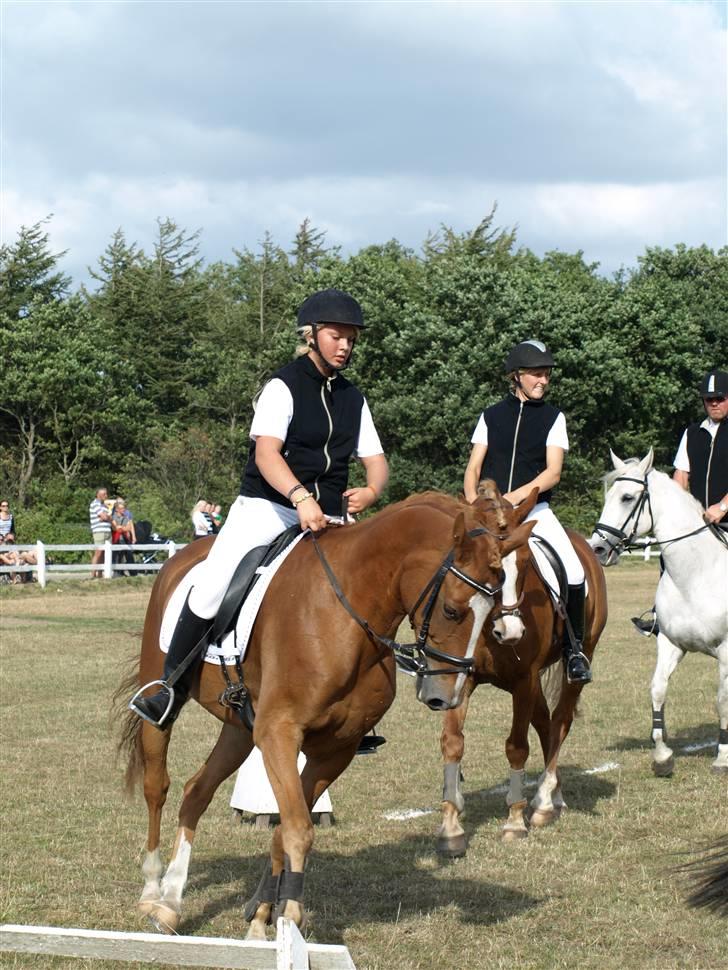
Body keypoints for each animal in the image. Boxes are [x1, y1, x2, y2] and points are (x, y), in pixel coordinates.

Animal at [116, 496, 532, 932]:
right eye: (452, 611)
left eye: (489, 611)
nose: (444, 697)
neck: (347, 612)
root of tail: (181, 558)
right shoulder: (279, 734)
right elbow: (298, 829)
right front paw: (288, 918)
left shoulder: (335, 749)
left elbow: (286, 829)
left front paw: (262, 914)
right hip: (163, 701)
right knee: (157, 786)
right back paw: (152, 890)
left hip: (240, 730)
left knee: (196, 791)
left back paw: (171, 901)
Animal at [392, 484, 608, 848]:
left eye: (524, 563)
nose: (510, 632)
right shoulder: (458, 676)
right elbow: (453, 742)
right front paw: (451, 823)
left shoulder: (524, 680)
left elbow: (516, 747)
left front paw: (515, 821)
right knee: (546, 724)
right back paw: (554, 797)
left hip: (577, 662)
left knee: (560, 722)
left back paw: (544, 801)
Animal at [588, 450, 724, 776]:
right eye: (608, 495)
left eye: (627, 497)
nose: (597, 549)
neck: (696, 575)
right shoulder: (670, 644)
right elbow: (658, 690)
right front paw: (662, 756)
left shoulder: (727, 650)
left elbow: (722, 701)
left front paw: (722, 758)